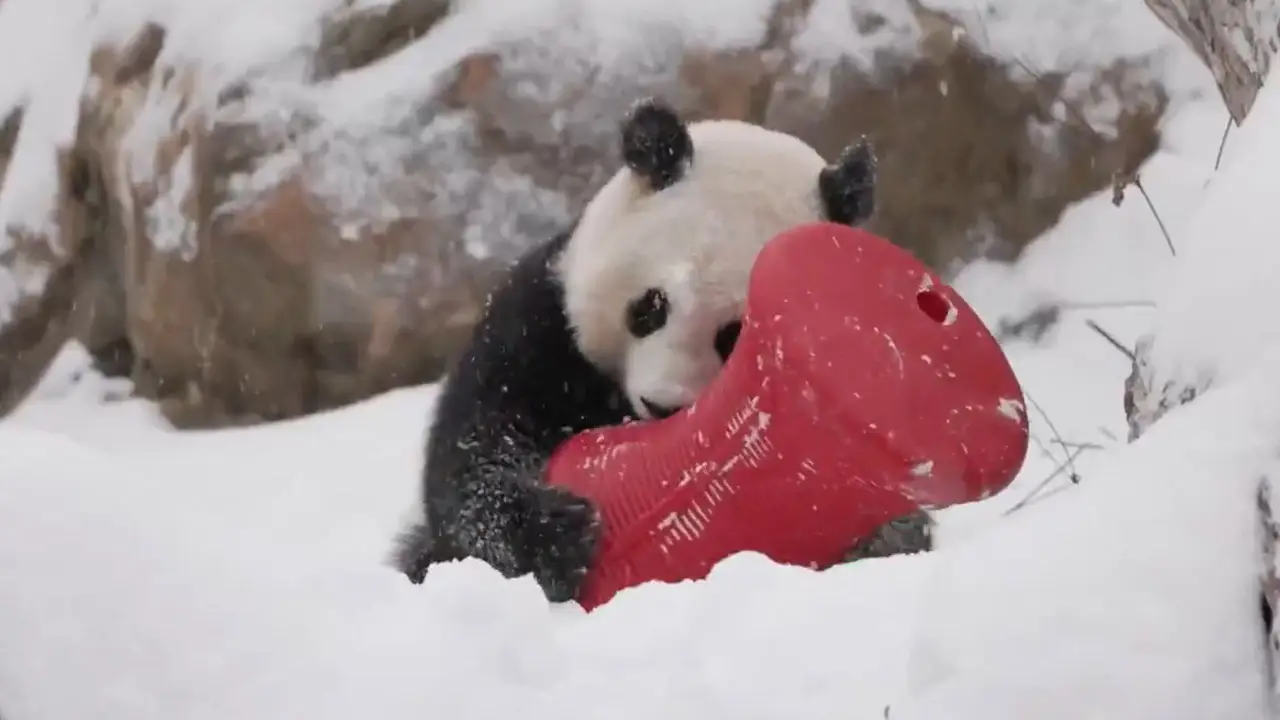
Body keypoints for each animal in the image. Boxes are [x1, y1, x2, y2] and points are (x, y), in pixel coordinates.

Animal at [389, 96, 911, 599]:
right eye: (650, 307)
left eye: (733, 334)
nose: (662, 406)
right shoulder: (544, 323)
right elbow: (476, 449)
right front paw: (558, 535)